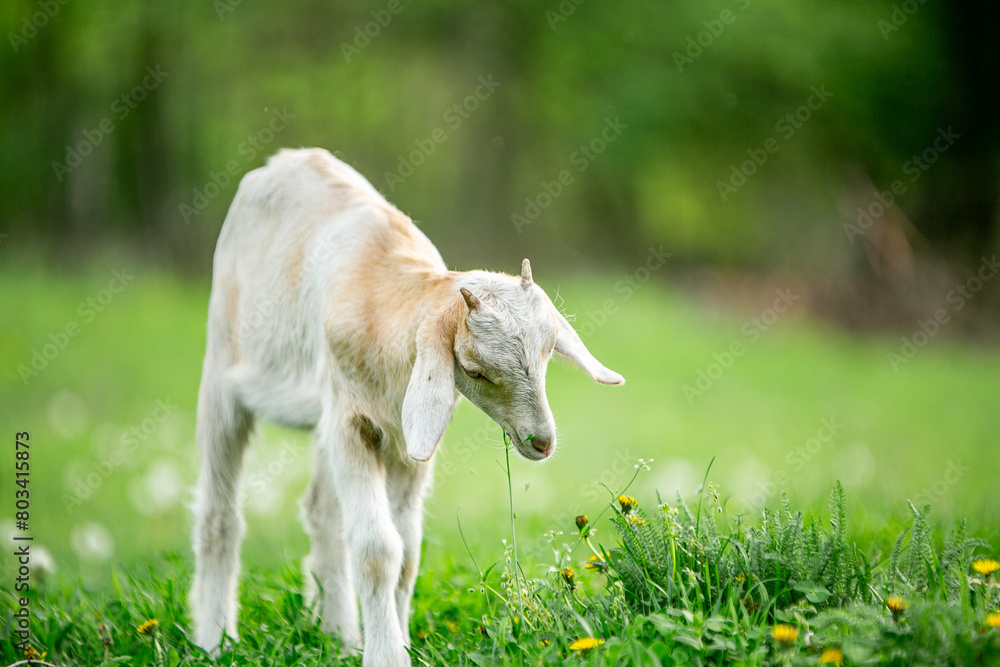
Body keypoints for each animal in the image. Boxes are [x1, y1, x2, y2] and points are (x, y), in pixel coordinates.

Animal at [189, 147, 625, 666]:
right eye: (475, 370)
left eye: (548, 352)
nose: (541, 441)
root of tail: (284, 159)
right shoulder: (350, 423)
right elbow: (379, 551)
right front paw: (385, 654)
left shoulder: (406, 440)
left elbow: (408, 554)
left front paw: (392, 640)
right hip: (222, 364)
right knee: (219, 514)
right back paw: (215, 639)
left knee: (322, 514)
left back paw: (338, 634)